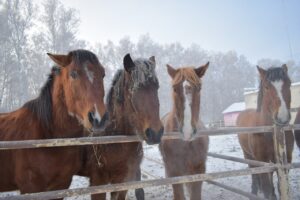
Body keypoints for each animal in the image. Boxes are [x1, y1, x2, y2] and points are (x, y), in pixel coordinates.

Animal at [238, 65, 294, 199]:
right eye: (267, 87)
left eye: (289, 84)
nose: (282, 118)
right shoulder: (263, 162)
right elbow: (268, 190)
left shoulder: (285, 162)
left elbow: (280, 188)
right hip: (248, 156)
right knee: (254, 175)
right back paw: (253, 192)